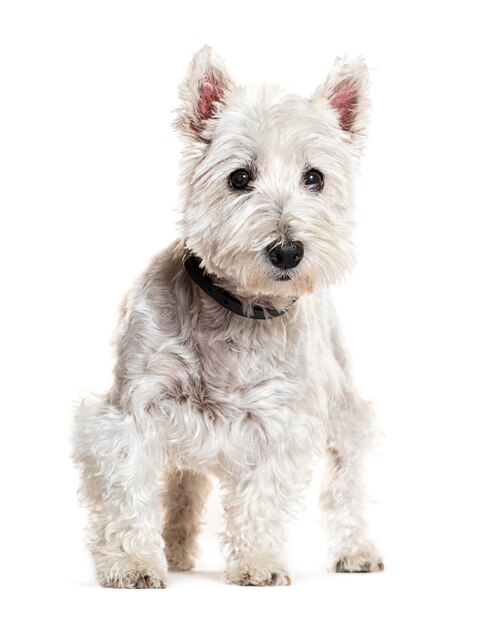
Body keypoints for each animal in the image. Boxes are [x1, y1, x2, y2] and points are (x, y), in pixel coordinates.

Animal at [73, 44, 384, 584]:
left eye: (315, 178)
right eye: (239, 177)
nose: (287, 251)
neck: (237, 310)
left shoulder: (279, 422)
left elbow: (261, 497)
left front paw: (258, 562)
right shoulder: (132, 410)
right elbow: (128, 489)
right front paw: (134, 563)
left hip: (342, 403)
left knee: (346, 477)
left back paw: (357, 551)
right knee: (183, 483)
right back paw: (174, 550)